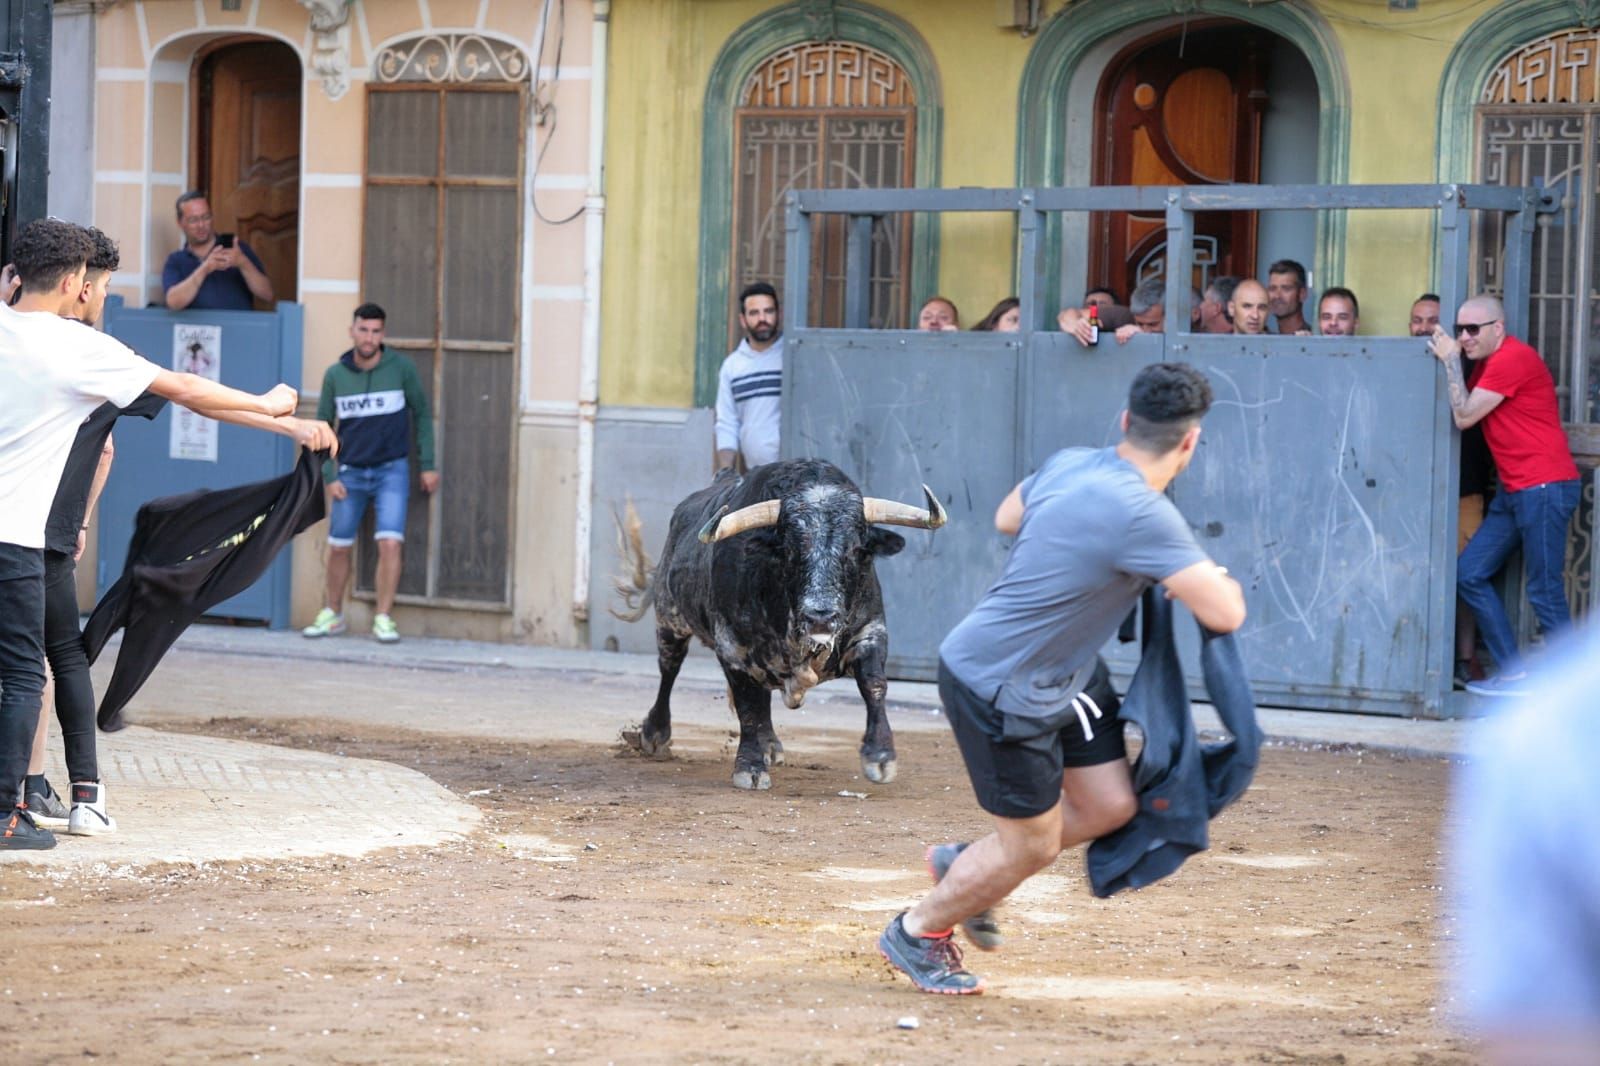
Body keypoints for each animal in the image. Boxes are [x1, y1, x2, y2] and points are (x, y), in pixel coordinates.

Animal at [620, 457, 947, 787]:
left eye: (856, 550)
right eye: (790, 550)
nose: (820, 617)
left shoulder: (869, 632)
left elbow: (874, 684)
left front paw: (880, 756)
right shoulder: (733, 647)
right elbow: (748, 706)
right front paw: (750, 767)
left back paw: (770, 745)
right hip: (669, 619)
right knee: (669, 670)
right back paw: (655, 734)